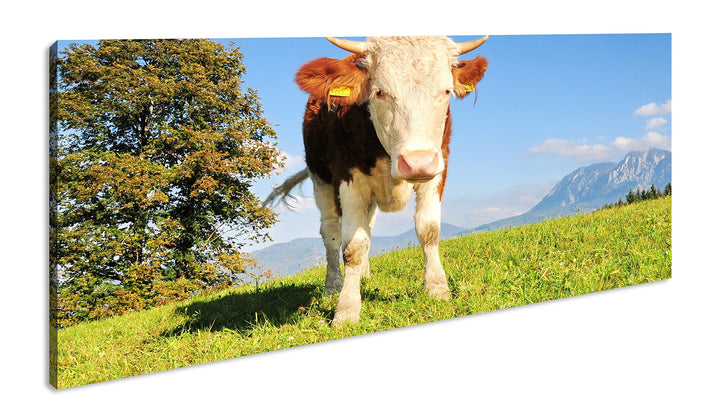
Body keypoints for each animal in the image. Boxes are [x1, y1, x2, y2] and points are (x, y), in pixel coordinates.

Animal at [265, 36, 488, 327]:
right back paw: (333, 286)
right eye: (379, 92)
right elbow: (353, 247)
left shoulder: (439, 166)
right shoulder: (348, 180)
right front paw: (346, 310)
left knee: (367, 227)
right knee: (331, 233)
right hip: (320, 179)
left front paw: (438, 289)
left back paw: (363, 275)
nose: (417, 162)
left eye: (447, 91)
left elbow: (428, 230)